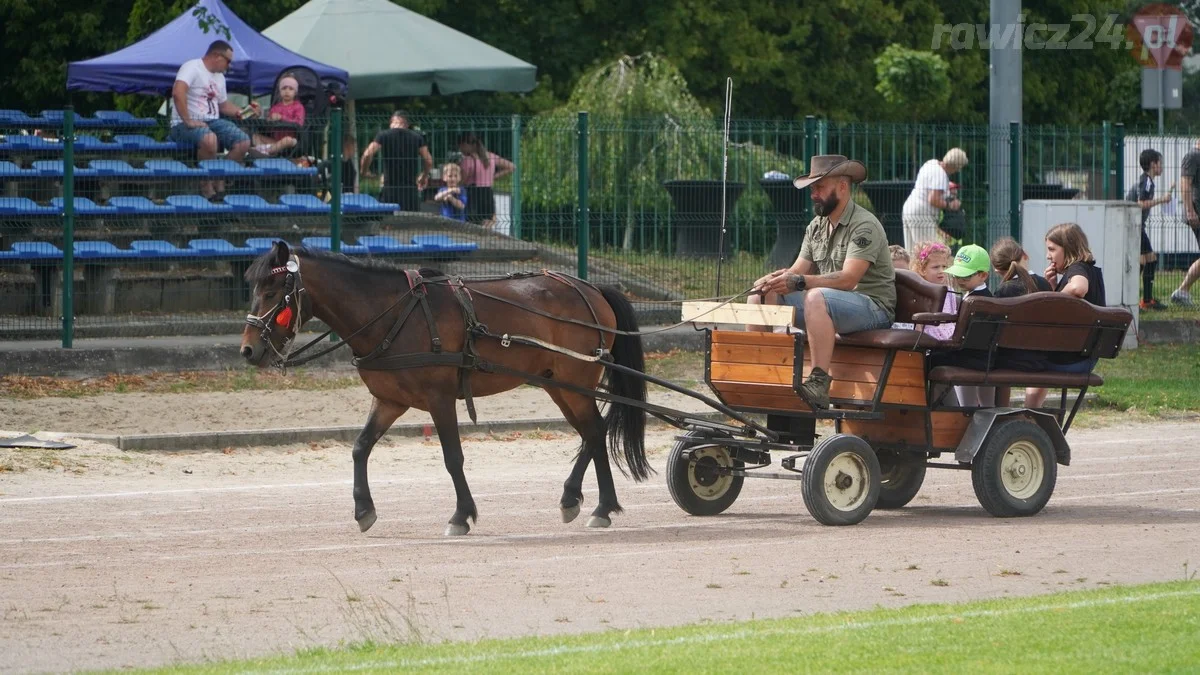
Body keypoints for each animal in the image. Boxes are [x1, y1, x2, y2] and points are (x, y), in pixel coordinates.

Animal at [240, 239, 652, 533]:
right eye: (255, 288)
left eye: (273, 290)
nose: (248, 350)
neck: (393, 312)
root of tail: (592, 289)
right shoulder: (389, 399)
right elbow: (360, 448)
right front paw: (363, 509)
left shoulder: (439, 400)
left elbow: (453, 457)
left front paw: (461, 515)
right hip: (559, 385)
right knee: (593, 433)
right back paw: (582, 501)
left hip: (574, 382)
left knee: (595, 431)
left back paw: (601, 506)